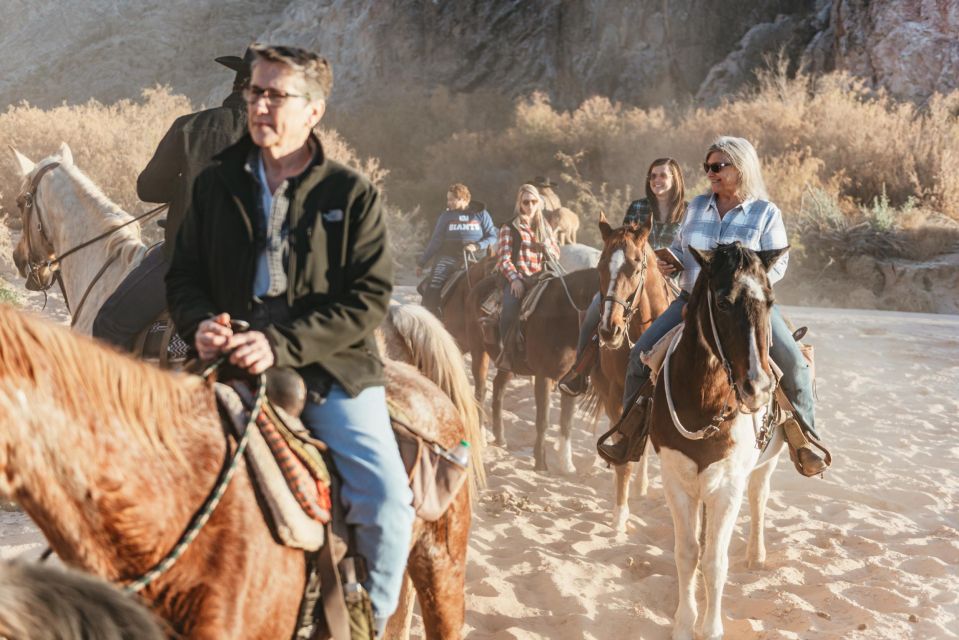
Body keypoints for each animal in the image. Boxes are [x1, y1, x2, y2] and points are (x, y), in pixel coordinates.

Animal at [592, 212, 676, 532]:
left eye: (635, 266)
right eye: (601, 265)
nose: (609, 329)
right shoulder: (617, 397)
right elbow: (623, 451)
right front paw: (619, 514)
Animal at [648, 241, 792, 640]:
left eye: (770, 302)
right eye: (724, 303)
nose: (758, 387)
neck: (706, 401)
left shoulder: (728, 486)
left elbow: (714, 560)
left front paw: (710, 627)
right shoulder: (676, 479)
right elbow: (687, 553)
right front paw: (684, 622)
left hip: (766, 463)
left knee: (759, 497)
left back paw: (756, 555)